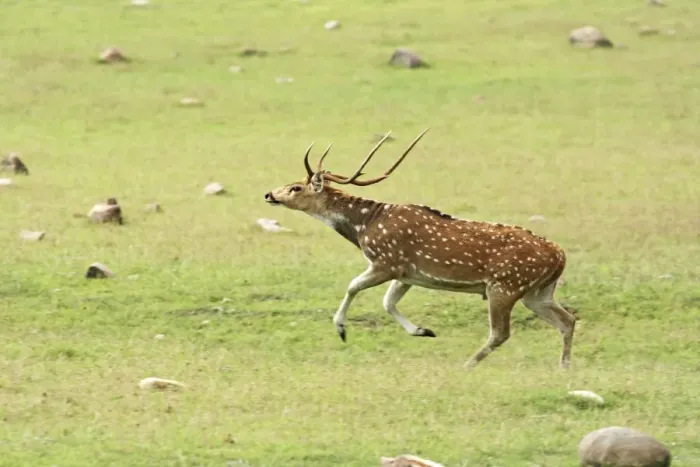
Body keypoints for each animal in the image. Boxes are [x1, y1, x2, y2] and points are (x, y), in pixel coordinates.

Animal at [264, 130, 576, 369]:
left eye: (295, 188)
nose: (268, 194)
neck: (364, 226)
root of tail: (560, 256)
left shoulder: (386, 262)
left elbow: (353, 286)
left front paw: (341, 329)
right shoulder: (407, 274)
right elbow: (388, 302)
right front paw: (423, 331)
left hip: (505, 286)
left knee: (501, 333)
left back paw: (467, 364)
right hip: (537, 292)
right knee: (567, 320)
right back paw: (563, 367)